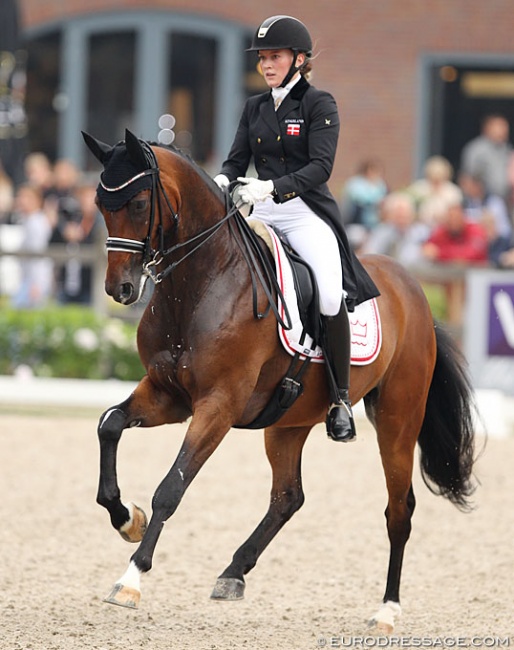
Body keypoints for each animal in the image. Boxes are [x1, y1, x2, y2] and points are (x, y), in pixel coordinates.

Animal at [82, 129, 474, 632]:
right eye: (100, 203)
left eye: (137, 203)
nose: (121, 290)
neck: (200, 283)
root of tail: (415, 292)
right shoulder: (168, 395)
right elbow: (109, 425)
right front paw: (126, 517)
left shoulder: (218, 405)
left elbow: (172, 487)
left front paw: (131, 578)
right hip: (289, 422)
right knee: (289, 496)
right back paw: (233, 573)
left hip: (398, 419)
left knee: (398, 510)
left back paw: (386, 610)